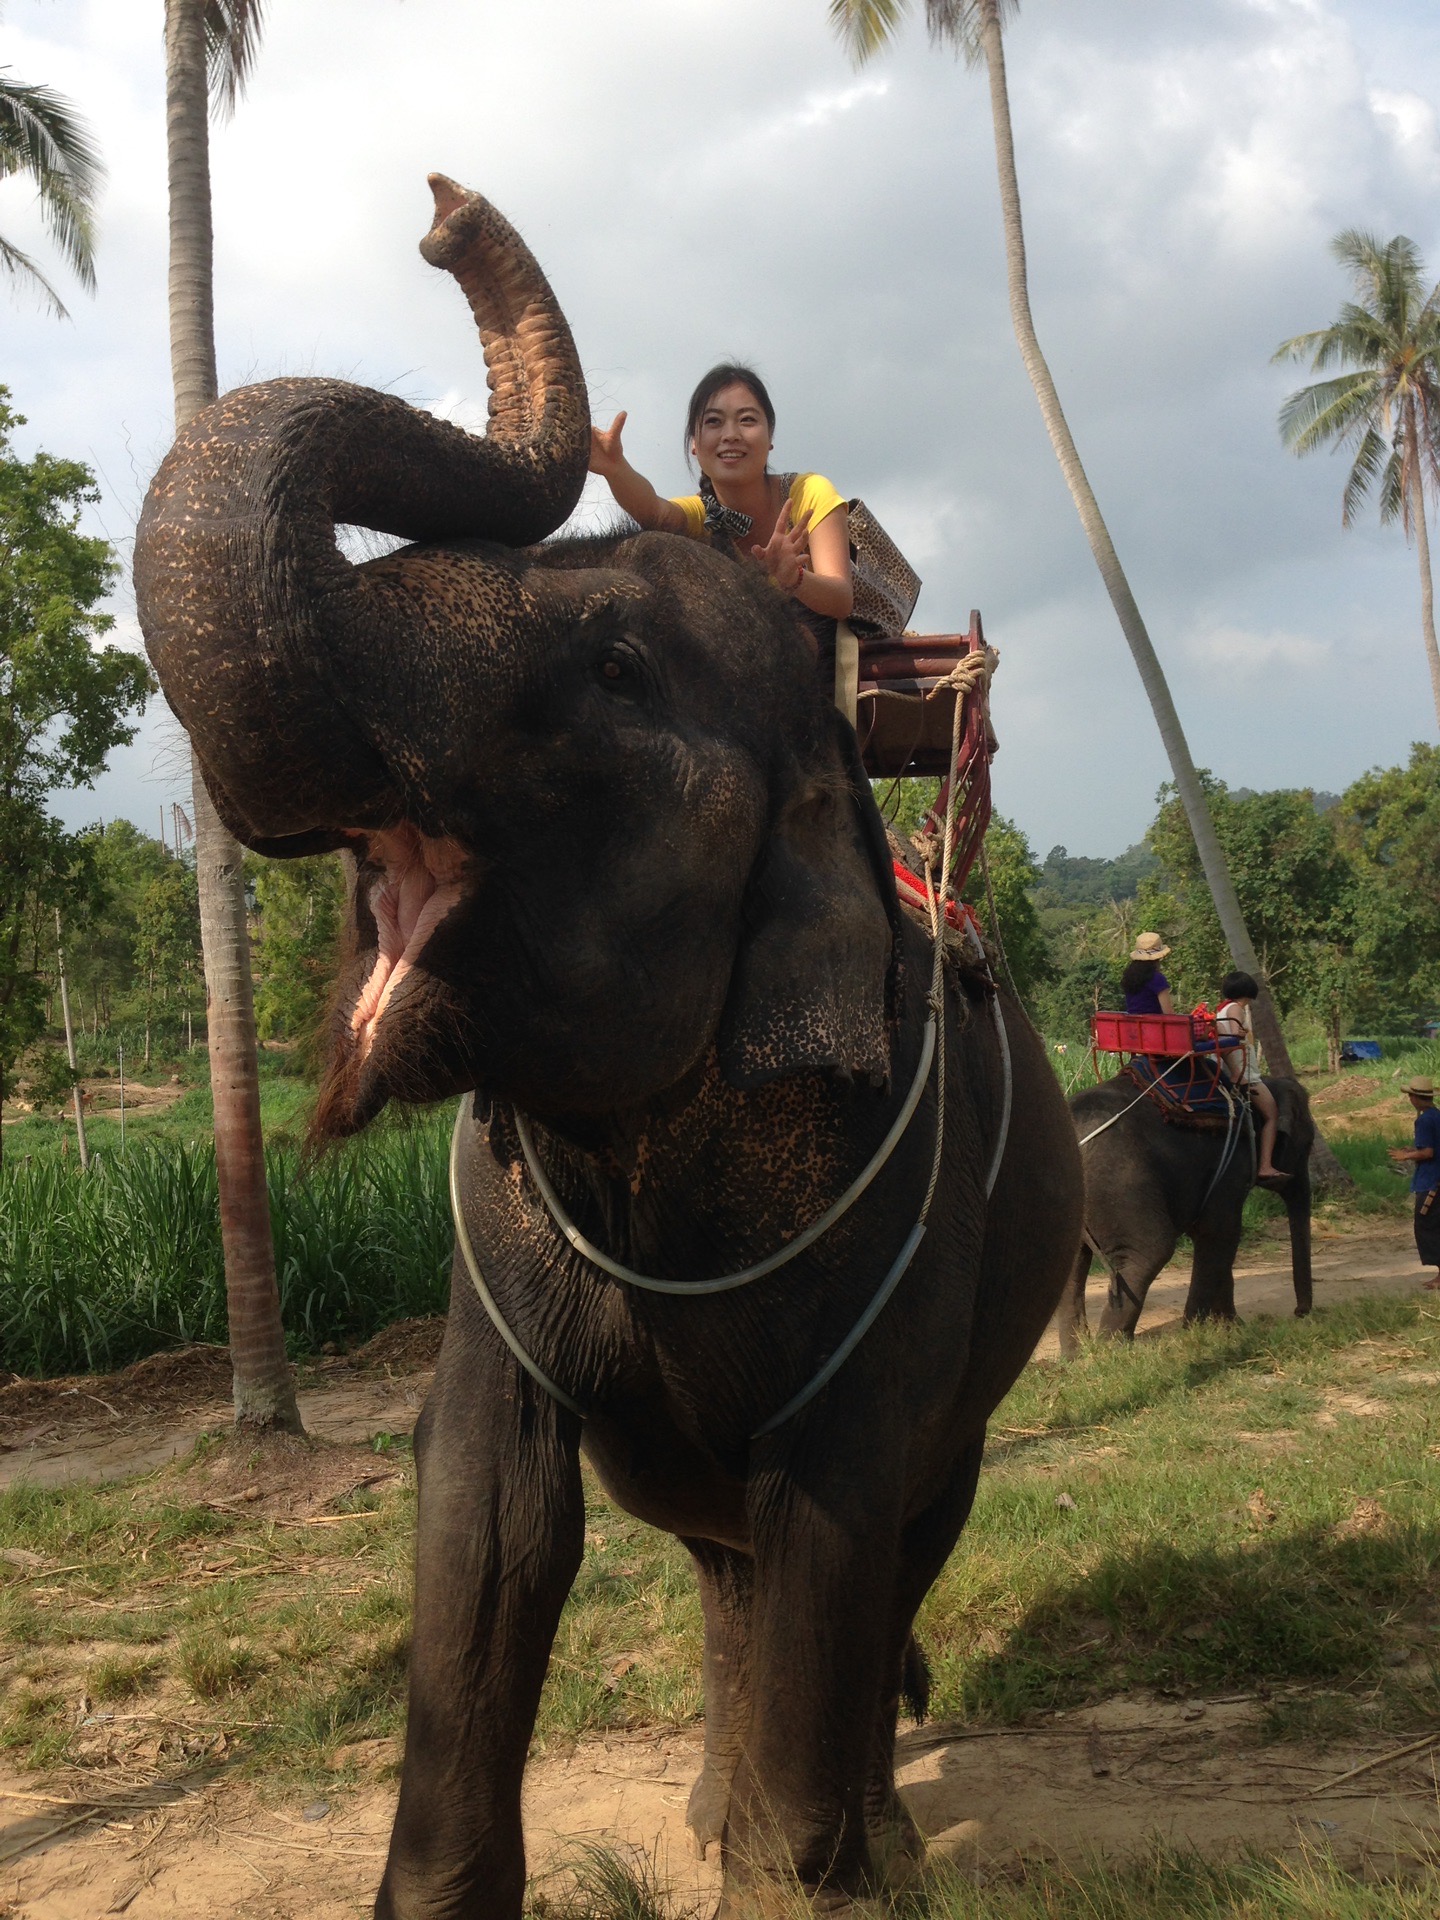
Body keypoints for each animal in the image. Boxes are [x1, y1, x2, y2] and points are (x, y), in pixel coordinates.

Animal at [138, 180, 1082, 1920]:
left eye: (620, 670)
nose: (441, 214)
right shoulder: (491, 1255)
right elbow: (488, 1514)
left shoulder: (908, 1230)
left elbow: (839, 1517)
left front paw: (796, 1885)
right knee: (726, 1563)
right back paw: (714, 1813)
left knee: (897, 1541)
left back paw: (877, 1849)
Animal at [1052, 1067, 1313, 1351]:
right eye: (1307, 1147)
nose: (1300, 1313)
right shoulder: (1233, 1165)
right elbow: (1221, 1232)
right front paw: (1196, 1332)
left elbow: (1210, 1235)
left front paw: (1232, 1327)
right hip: (1120, 1180)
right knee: (1149, 1252)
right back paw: (1114, 1351)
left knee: (1071, 1266)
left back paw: (1079, 1356)